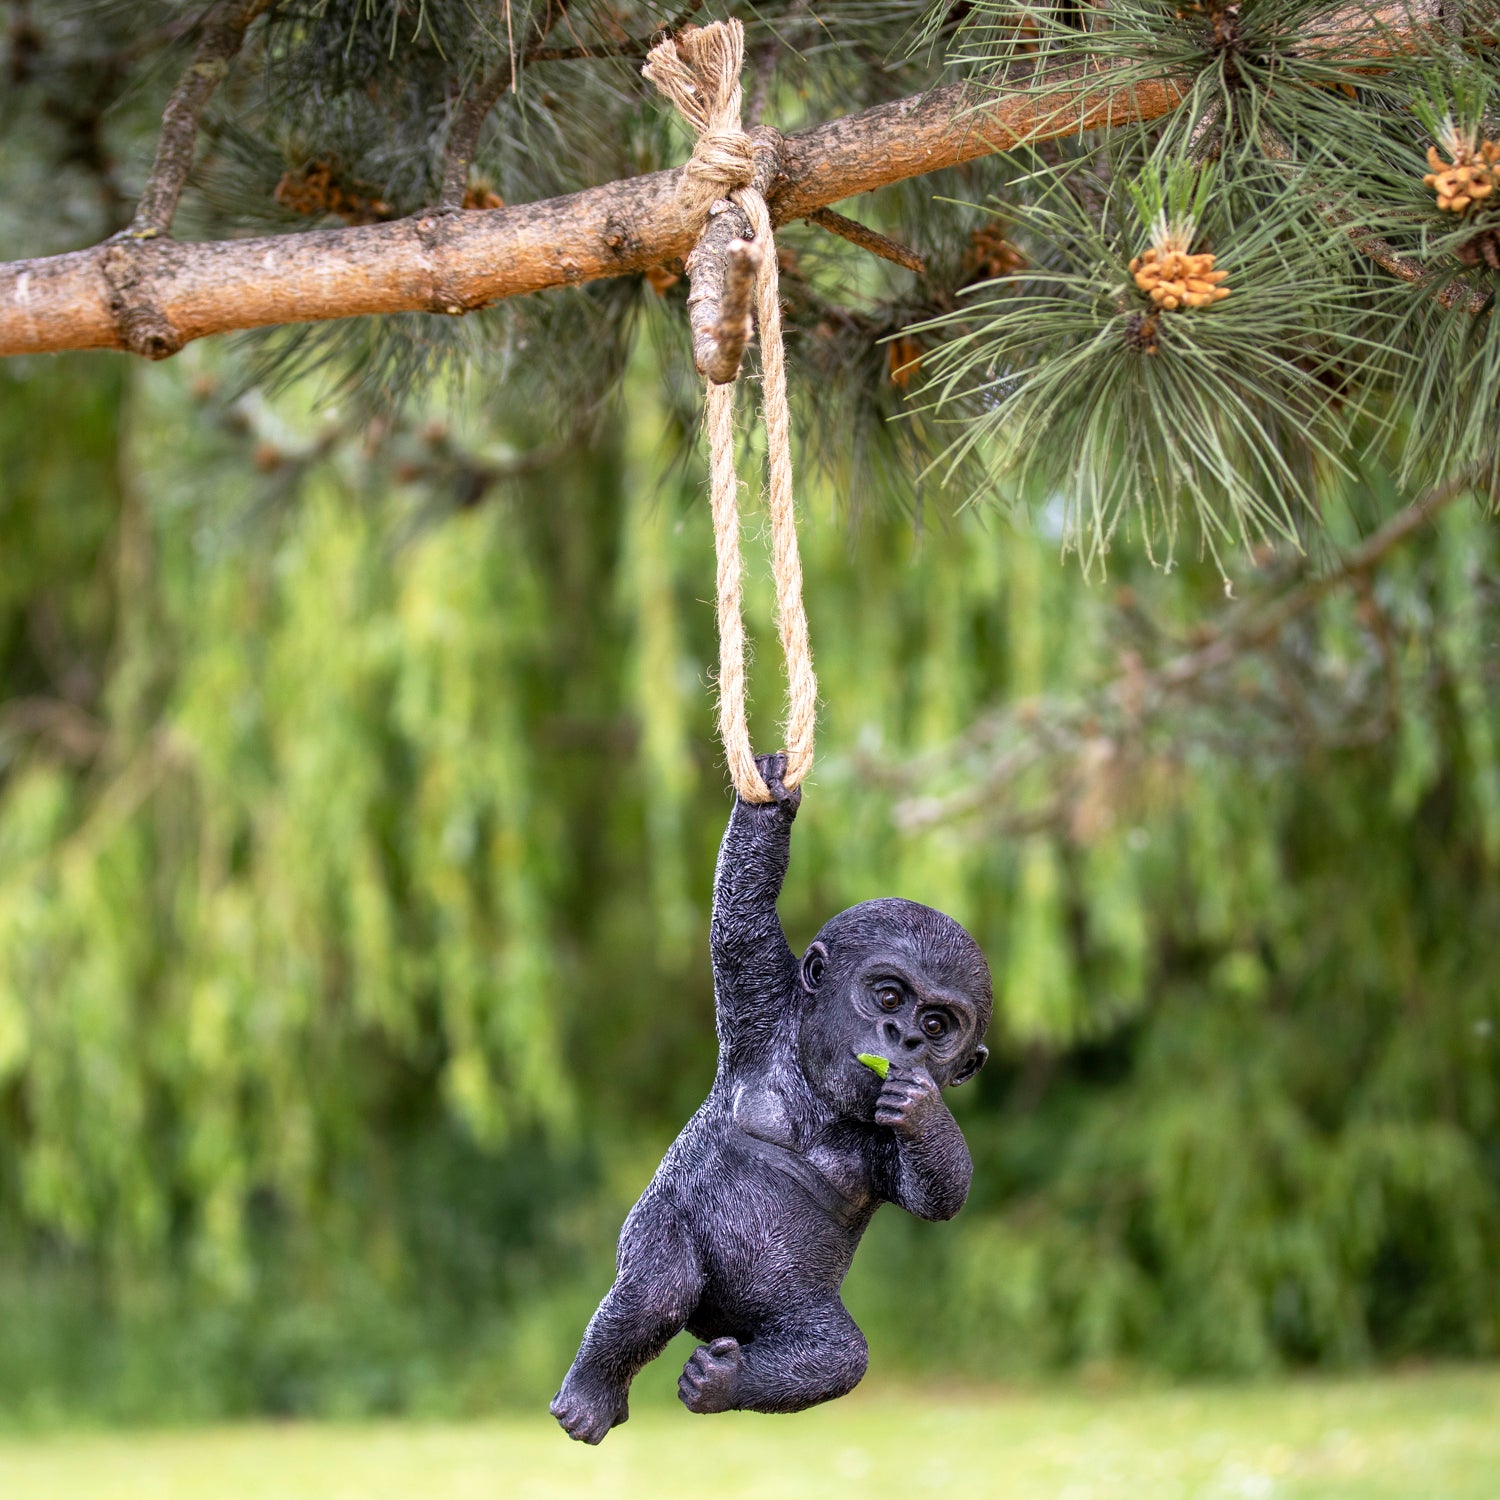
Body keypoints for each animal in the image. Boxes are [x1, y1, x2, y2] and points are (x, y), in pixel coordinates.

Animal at [550, 752, 992, 1443]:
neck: (819, 1093)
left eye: (939, 1024)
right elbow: (741, 917)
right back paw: (591, 1395)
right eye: (890, 997)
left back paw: (719, 1383)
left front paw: (922, 1109)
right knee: (656, 1288)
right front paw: (771, 800)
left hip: (794, 1312)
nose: (908, 1038)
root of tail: (716, 1324)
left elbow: (937, 1196)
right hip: (665, 1234)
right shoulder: (758, 1005)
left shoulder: (882, 1151)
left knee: (837, 1356)